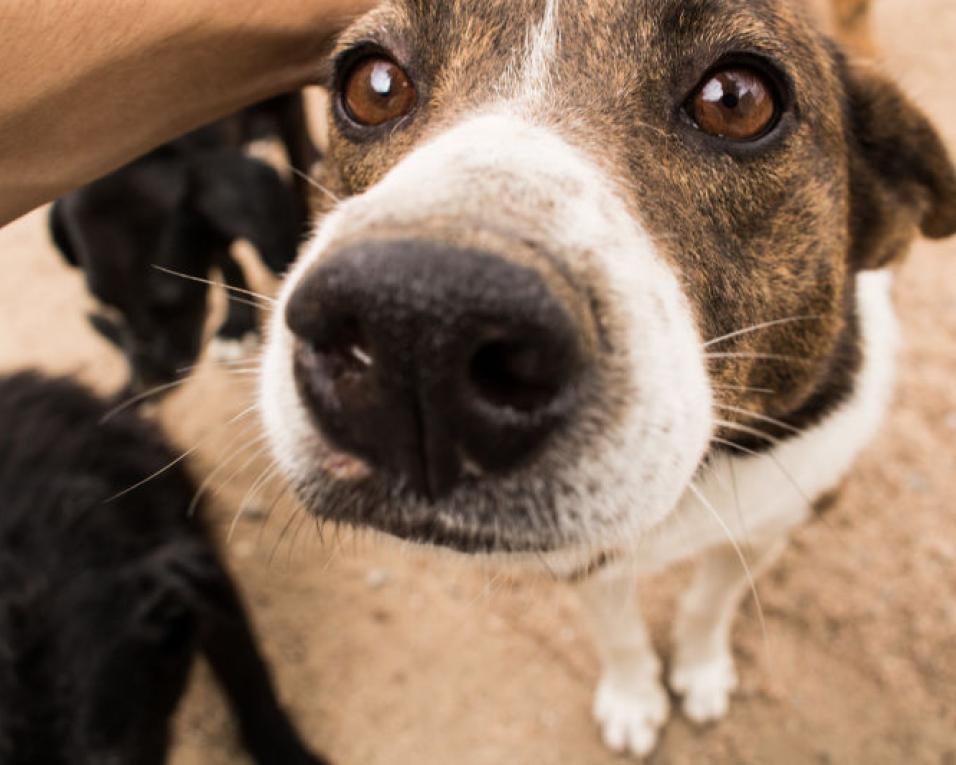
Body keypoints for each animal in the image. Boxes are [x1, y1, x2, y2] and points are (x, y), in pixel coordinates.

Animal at [49, 91, 318, 394]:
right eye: (110, 306)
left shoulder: (286, 105)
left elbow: (299, 176)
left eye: (173, 302)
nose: (151, 382)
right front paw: (237, 324)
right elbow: (223, 255)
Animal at [256, 0, 956, 752]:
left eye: (737, 101)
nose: (418, 324)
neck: (696, 483)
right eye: (374, 85)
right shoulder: (585, 559)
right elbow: (618, 631)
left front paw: (700, 669)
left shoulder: (773, 518)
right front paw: (634, 698)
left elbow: (711, 601)